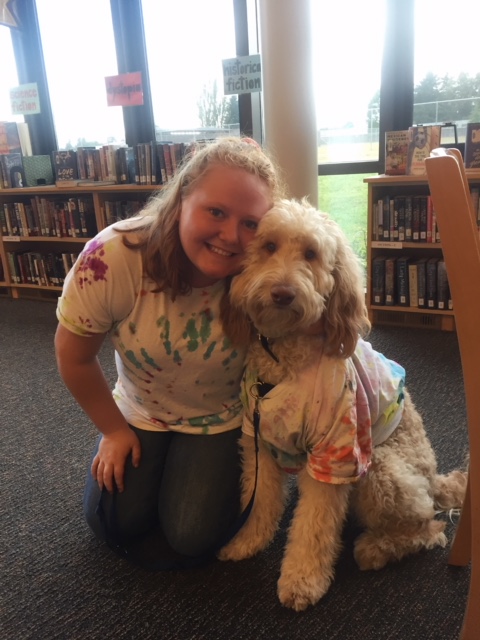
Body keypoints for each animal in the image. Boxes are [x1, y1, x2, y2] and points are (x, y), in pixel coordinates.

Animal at [219, 199, 466, 608]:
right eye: (269, 246)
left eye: (311, 254)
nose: (282, 293)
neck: (283, 357)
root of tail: (435, 481)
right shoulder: (259, 443)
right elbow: (260, 501)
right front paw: (246, 541)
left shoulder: (333, 454)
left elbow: (314, 525)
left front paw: (302, 580)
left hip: (379, 468)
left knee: (429, 528)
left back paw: (375, 549)